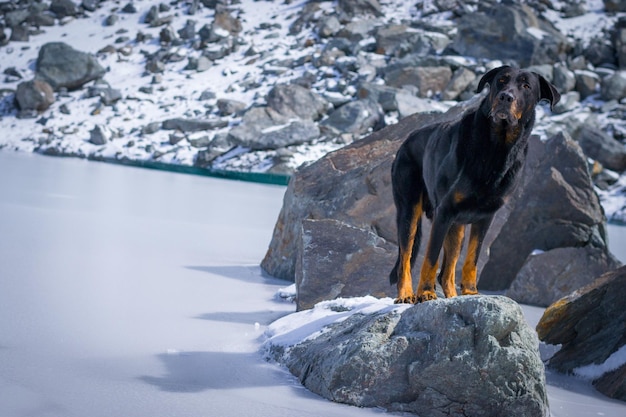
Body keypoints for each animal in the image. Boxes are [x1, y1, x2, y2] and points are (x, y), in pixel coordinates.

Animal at [388, 66, 560, 304]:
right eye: (501, 80)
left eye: (526, 86)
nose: (506, 97)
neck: (496, 149)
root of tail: (405, 142)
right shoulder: (444, 212)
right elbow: (431, 258)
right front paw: (426, 292)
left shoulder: (485, 217)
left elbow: (472, 258)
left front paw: (470, 292)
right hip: (409, 211)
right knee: (406, 256)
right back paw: (406, 294)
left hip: (456, 227)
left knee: (447, 271)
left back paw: (452, 296)